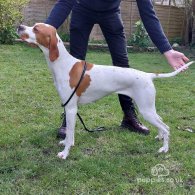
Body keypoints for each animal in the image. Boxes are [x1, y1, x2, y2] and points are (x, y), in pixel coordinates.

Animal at [17, 23, 193, 160]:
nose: (20, 26)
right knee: (161, 123)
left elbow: (70, 133)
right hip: (149, 108)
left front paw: (65, 153)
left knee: (166, 127)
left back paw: (164, 148)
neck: (64, 64)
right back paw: (160, 136)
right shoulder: (69, 107)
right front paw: (68, 143)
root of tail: (148, 75)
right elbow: (69, 135)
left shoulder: (71, 108)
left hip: (145, 110)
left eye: (36, 29)